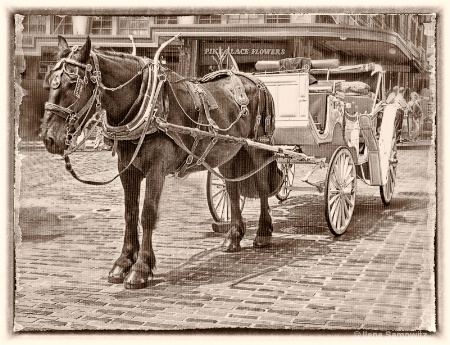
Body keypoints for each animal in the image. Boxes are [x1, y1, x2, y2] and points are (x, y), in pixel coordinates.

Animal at [41, 35, 282, 288]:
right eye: (49, 83)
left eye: (73, 83)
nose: (49, 138)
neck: (147, 106)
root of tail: (255, 80)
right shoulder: (127, 169)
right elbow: (130, 213)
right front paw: (123, 262)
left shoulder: (156, 169)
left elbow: (147, 214)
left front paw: (141, 268)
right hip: (228, 151)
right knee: (232, 189)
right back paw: (233, 237)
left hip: (257, 146)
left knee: (262, 187)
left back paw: (263, 233)